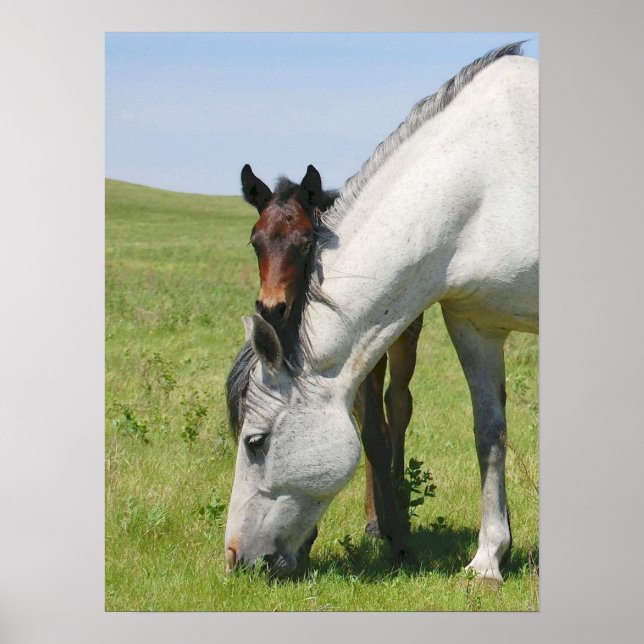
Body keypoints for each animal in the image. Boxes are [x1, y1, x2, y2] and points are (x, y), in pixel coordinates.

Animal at [238, 165, 423, 558]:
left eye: (306, 243)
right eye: (255, 242)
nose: (271, 307)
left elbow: (376, 433)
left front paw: (398, 534)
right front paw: (306, 538)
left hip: (404, 340)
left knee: (398, 408)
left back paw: (398, 502)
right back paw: (375, 518)